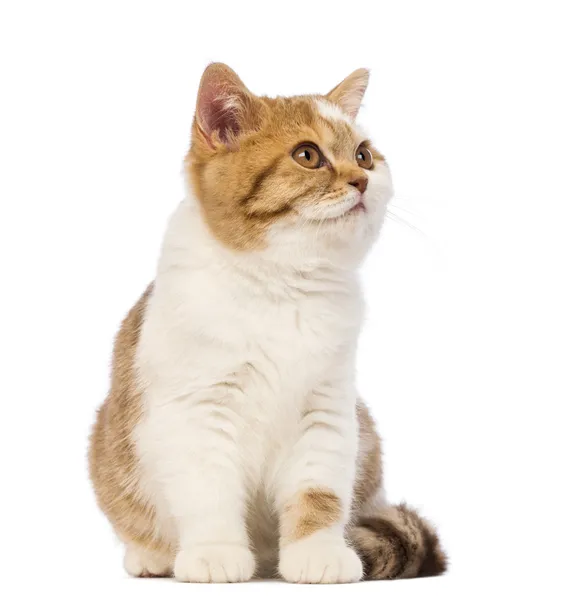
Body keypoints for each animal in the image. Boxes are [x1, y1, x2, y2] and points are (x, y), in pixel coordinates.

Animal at [88, 63, 446, 584]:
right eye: (307, 155)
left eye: (364, 155)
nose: (361, 180)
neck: (283, 283)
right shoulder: (196, 410)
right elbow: (209, 492)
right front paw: (215, 552)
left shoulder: (328, 410)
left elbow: (319, 491)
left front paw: (317, 553)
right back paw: (151, 555)